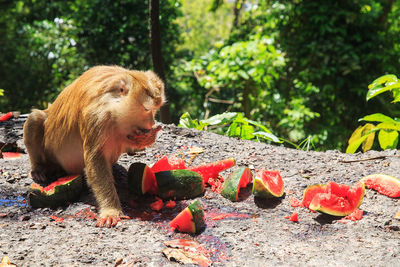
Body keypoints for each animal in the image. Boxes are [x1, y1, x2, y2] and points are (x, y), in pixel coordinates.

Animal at [23, 66, 165, 228]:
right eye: (147, 110)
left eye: (155, 109)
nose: (151, 122)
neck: (112, 108)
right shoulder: (96, 118)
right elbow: (96, 161)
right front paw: (111, 210)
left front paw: (146, 139)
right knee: (35, 119)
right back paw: (40, 168)